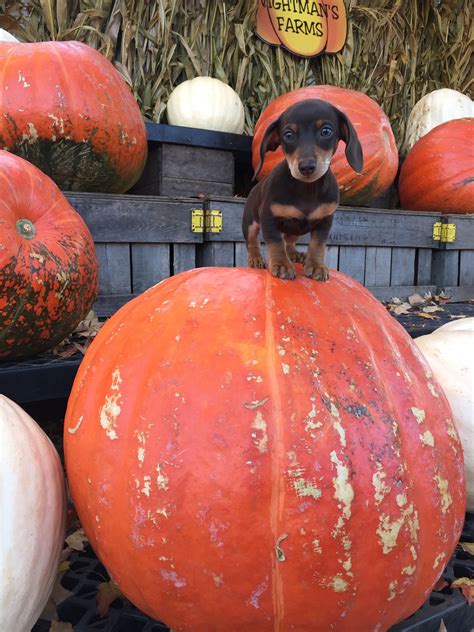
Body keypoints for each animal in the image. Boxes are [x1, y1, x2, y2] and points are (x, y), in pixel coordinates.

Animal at [243, 97, 364, 280]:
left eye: (326, 131)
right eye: (288, 135)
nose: (306, 167)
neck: (307, 189)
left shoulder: (325, 220)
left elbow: (317, 244)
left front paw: (316, 266)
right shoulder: (268, 216)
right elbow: (275, 242)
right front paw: (282, 265)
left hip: (294, 230)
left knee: (289, 241)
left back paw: (294, 254)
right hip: (251, 221)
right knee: (252, 241)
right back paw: (256, 258)